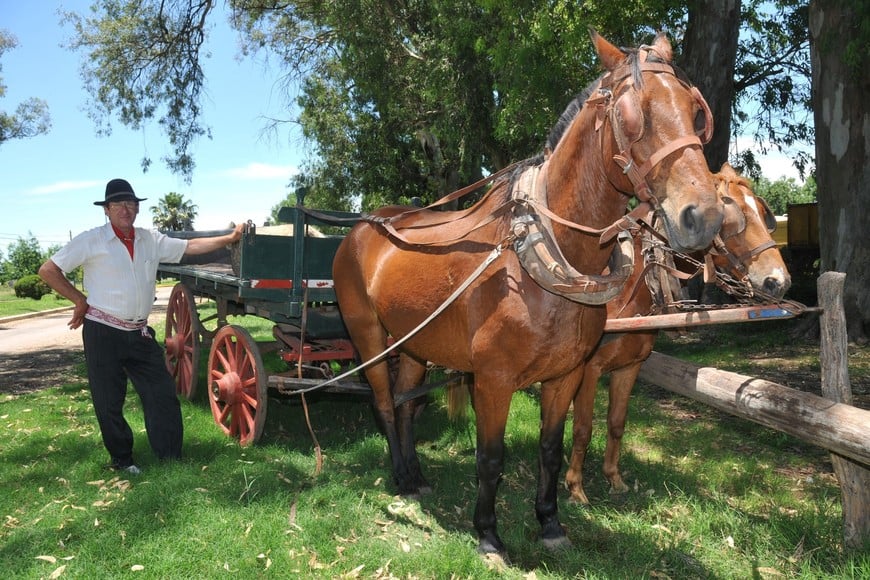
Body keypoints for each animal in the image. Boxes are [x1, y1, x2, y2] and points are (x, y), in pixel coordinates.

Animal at [332, 30, 724, 555]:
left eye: (695, 110)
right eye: (631, 114)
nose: (702, 217)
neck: (546, 261)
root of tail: (363, 226)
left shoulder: (566, 375)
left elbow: (551, 450)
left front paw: (551, 522)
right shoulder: (492, 380)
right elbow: (490, 458)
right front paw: (488, 534)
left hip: (414, 343)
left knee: (405, 404)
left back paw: (415, 477)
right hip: (369, 337)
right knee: (382, 404)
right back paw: (399, 476)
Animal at [564, 162, 791, 505]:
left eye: (763, 214)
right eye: (731, 218)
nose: (778, 281)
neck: (627, 289)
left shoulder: (629, 367)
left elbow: (616, 423)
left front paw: (614, 479)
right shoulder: (589, 369)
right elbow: (583, 428)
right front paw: (576, 487)